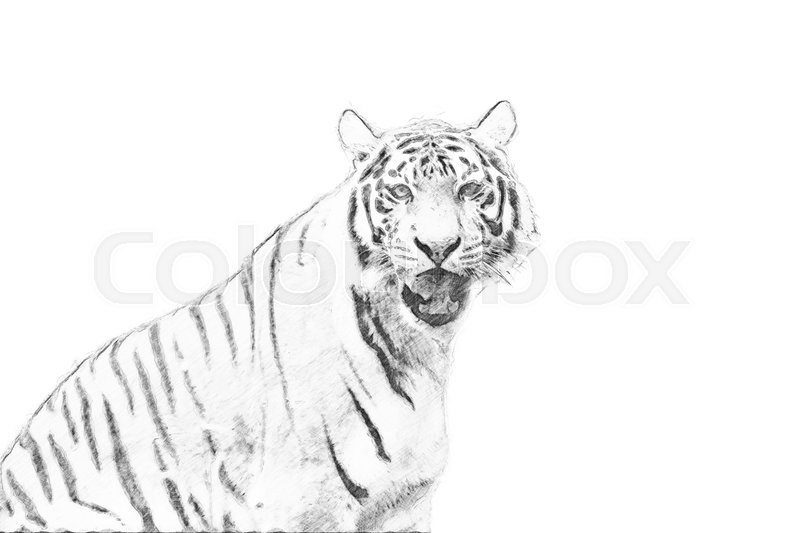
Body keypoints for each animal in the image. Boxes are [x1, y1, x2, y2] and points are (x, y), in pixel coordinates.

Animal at [0, 101, 538, 532]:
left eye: (469, 190)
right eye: (401, 193)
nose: (438, 246)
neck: (418, 351)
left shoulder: (406, 503)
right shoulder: (307, 502)